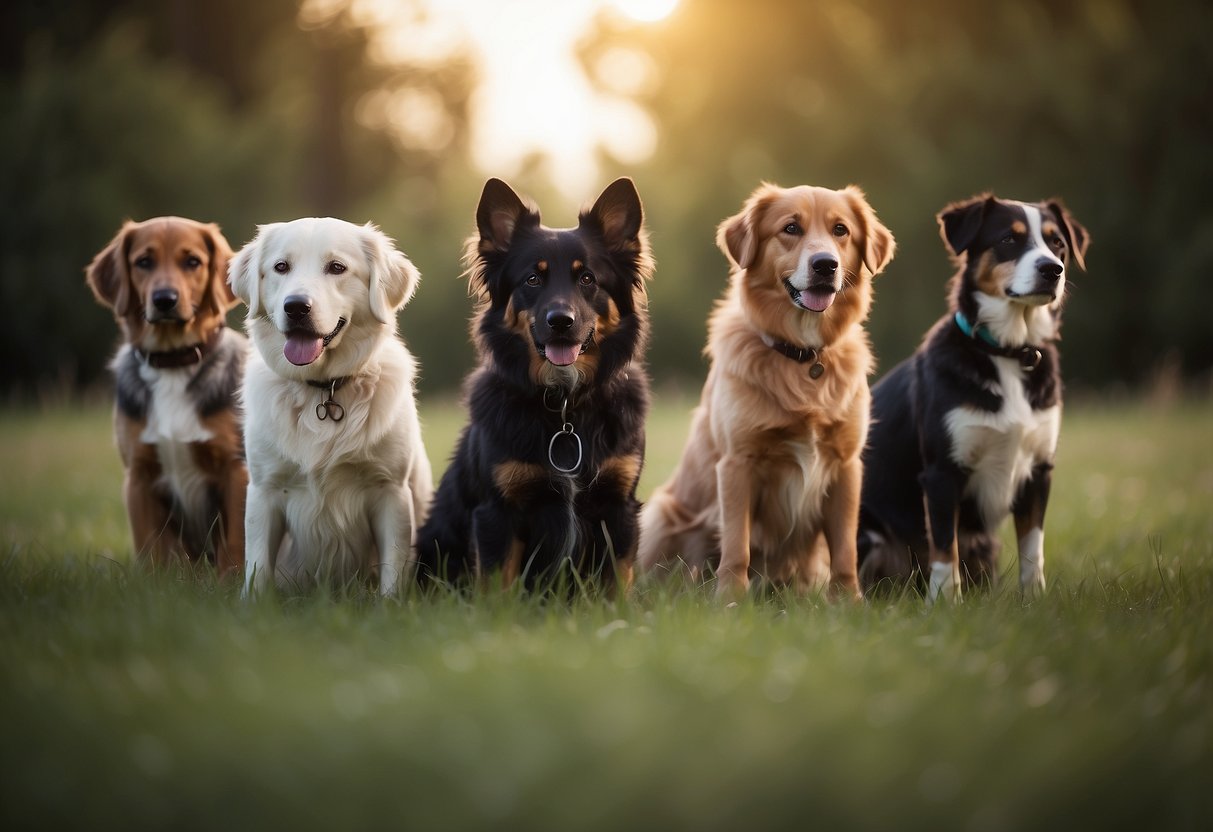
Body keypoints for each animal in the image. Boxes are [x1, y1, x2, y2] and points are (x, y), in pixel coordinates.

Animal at [86, 218, 247, 577]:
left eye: (193, 262)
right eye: (144, 262)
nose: (164, 299)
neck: (174, 363)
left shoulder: (235, 471)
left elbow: (235, 545)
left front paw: (233, 584)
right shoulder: (139, 478)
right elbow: (150, 550)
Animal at [229, 218, 434, 596]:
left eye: (337, 268)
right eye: (281, 267)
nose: (296, 307)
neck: (323, 391)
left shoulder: (390, 490)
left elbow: (393, 569)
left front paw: (391, 605)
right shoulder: (265, 491)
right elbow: (258, 567)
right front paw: (252, 605)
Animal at [422, 178, 659, 589]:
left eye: (587, 278)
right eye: (532, 279)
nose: (560, 321)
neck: (565, 403)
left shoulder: (618, 506)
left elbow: (615, 585)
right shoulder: (498, 511)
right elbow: (497, 587)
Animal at [640, 184, 897, 599]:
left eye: (840, 230)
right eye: (790, 228)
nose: (825, 265)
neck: (802, 356)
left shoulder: (846, 466)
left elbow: (845, 548)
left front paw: (848, 601)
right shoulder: (737, 463)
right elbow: (737, 545)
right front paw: (730, 600)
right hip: (662, 513)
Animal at [853, 194, 1091, 599]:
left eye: (1057, 242)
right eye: (1009, 239)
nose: (1053, 269)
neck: (1007, 353)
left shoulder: (1038, 470)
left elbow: (1033, 546)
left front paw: (1034, 599)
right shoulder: (942, 472)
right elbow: (944, 547)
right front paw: (946, 602)